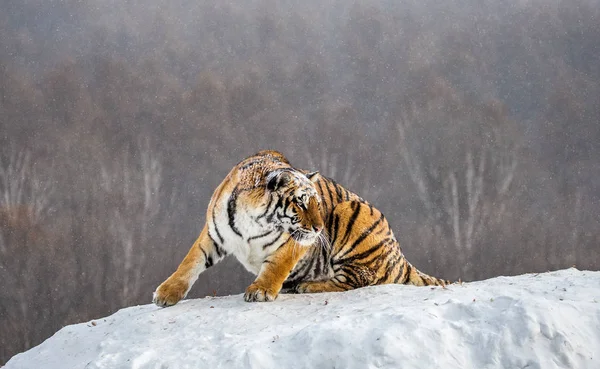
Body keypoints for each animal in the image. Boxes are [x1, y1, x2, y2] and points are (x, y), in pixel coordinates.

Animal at [152, 150, 448, 304]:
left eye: (317, 203)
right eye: (302, 202)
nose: (318, 229)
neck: (252, 221)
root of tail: (400, 257)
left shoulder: (293, 243)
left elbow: (275, 266)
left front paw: (260, 291)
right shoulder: (214, 234)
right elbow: (190, 263)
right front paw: (166, 294)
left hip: (351, 213)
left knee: (356, 280)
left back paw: (306, 287)